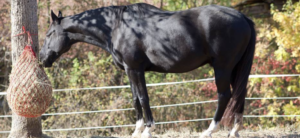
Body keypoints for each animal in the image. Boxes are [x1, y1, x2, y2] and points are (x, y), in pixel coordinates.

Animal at [39, 3, 255, 138]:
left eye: (50, 33)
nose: (41, 58)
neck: (117, 27)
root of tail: (242, 17)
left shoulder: (135, 69)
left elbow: (143, 98)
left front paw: (148, 130)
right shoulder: (129, 70)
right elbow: (135, 99)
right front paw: (137, 130)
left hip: (223, 67)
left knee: (224, 95)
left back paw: (209, 130)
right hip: (236, 68)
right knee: (240, 94)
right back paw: (234, 130)